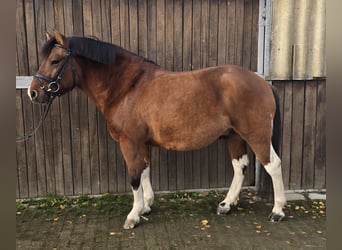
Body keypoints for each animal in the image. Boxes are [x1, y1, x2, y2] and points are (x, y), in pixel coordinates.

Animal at [28, 30, 286, 229]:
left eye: (55, 60)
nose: (33, 92)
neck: (127, 87)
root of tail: (262, 82)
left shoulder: (129, 143)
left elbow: (134, 177)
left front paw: (133, 215)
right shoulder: (141, 143)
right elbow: (144, 171)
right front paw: (146, 206)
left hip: (256, 135)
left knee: (273, 165)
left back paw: (277, 211)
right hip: (235, 136)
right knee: (240, 167)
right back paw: (226, 205)